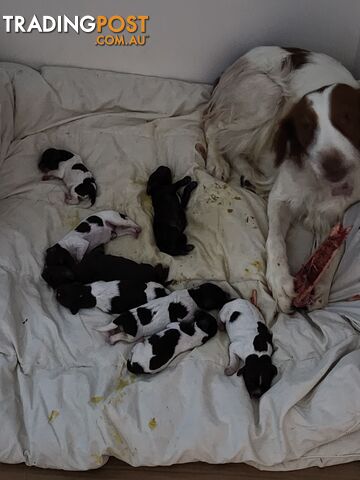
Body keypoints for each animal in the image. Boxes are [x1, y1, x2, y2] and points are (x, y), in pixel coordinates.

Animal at [98, 282, 228, 344]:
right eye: (220, 297)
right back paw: (112, 338)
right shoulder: (188, 315)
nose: (228, 295)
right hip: (131, 336)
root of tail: (123, 318)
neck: (195, 295)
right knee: (121, 336)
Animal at [205, 47, 360, 314]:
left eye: (348, 119)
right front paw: (280, 283)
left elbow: (336, 248)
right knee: (214, 127)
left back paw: (251, 177)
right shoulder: (281, 198)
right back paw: (217, 160)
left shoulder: (339, 215)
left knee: (235, 148)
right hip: (269, 94)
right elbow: (275, 240)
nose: (334, 165)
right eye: (306, 128)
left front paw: (321, 289)